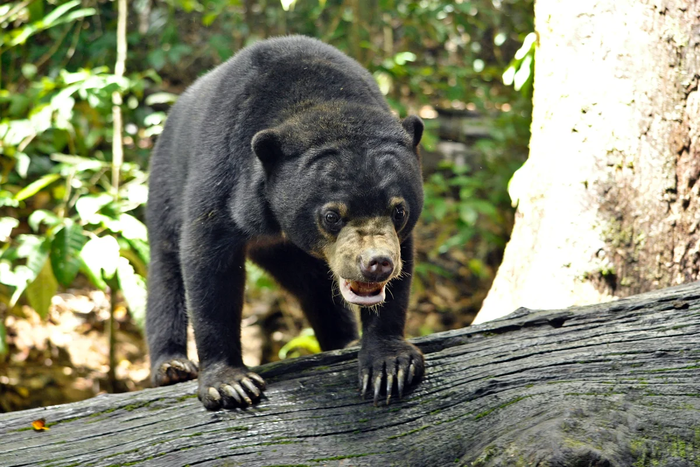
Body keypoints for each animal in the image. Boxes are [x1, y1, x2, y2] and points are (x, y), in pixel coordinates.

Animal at [145, 35, 424, 410]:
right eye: (331, 216)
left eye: (399, 211)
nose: (377, 264)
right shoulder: (222, 180)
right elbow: (208, 265)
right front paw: (230, 385)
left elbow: (399, 276)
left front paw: (389, 365)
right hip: (165, 187)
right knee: (165, 272)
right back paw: (172, 366)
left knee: (314, 286)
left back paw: (344, 343)